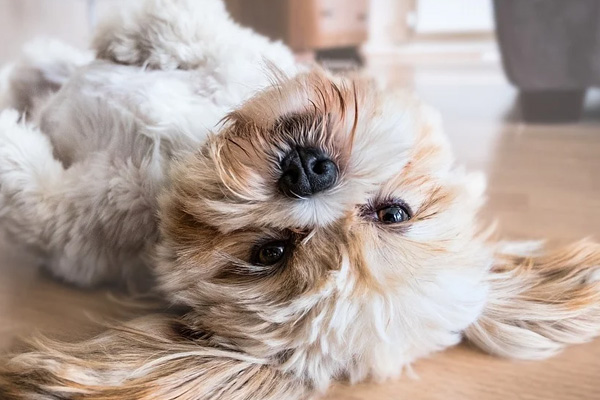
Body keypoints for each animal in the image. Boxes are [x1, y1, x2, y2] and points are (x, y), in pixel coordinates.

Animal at [1, 0, 600, 400]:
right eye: (395, 214)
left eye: (270, 253)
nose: (309, 171)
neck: (179, 158)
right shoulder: (240, 59)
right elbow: (197, 33)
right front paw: (130, 36)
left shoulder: (75, 230)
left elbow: (30, 191)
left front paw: (11, 138)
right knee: (42, 65)